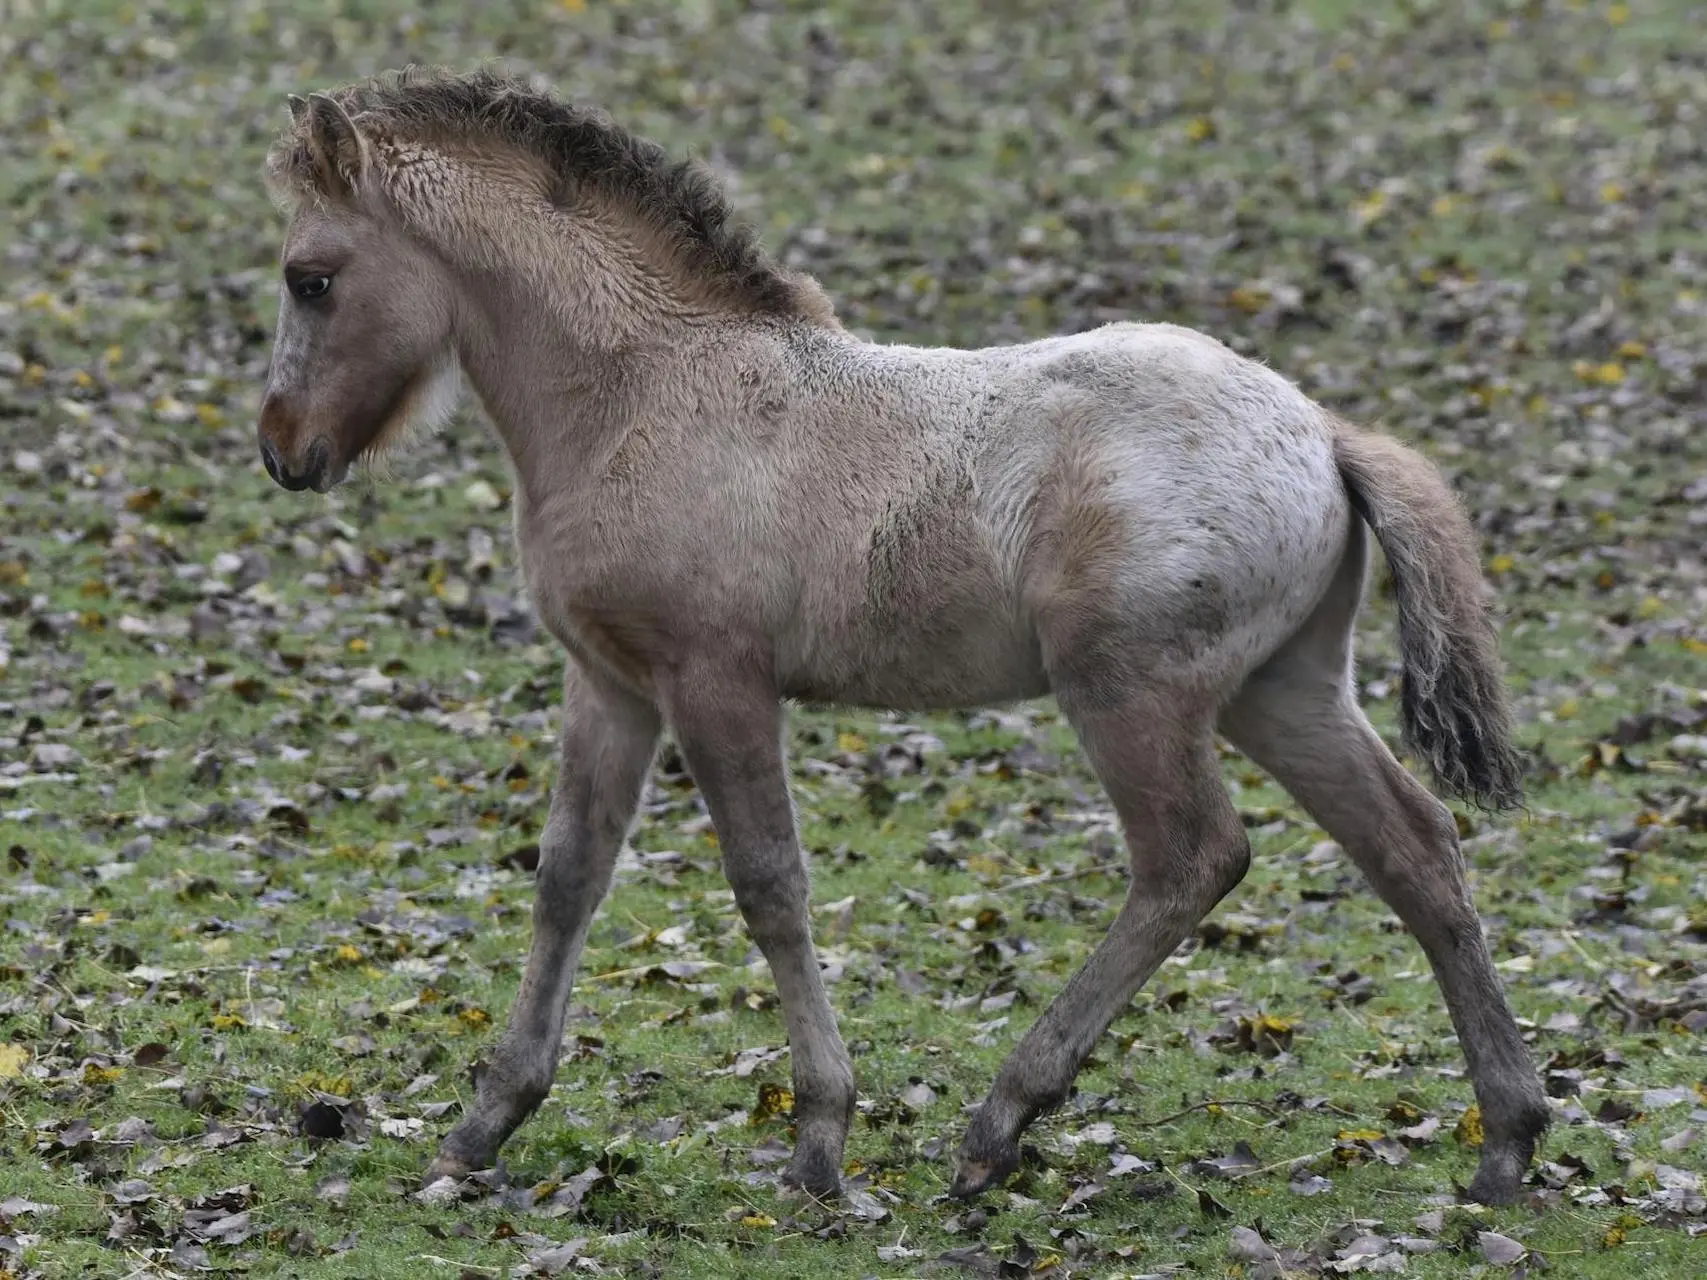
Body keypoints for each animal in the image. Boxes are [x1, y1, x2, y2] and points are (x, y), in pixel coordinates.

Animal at [259, 67, 1556, 1215]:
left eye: (310, 278)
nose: (282, 450)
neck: (647, 391)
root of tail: (1325, 430)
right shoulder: (611, 682)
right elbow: (569, 874)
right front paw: (484, 1122)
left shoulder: (716, 679)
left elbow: (770, 884)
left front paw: (820, 1140)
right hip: (1281, 690)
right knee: (1415, 847)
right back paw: (1508, 1142)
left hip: (1129, 691)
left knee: (1193, 858)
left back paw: (998, 1124)